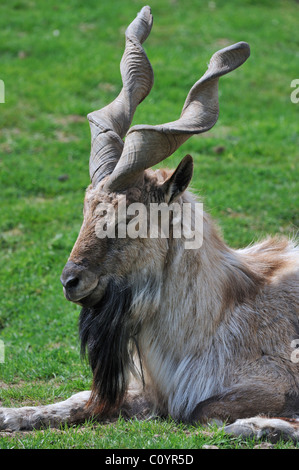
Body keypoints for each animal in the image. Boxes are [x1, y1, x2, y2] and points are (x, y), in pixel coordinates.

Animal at [0, 7, 299, 440]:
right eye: (87, 207)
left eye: (130, 216)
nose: (71, 281)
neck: (212, 319)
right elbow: (79, 400)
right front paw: (11, 414)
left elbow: (204, 410)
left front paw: (259, 424)